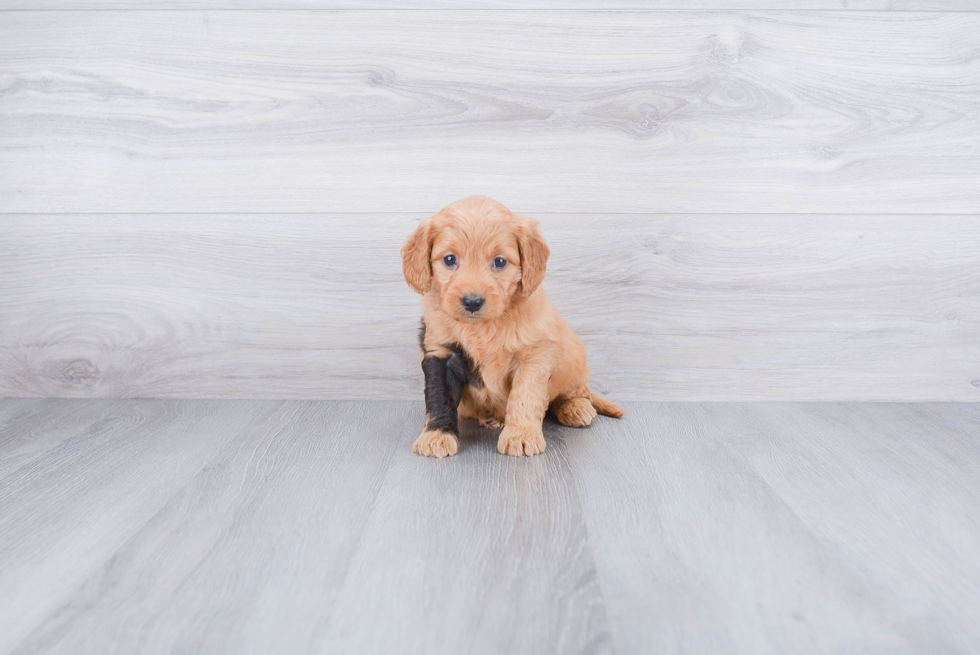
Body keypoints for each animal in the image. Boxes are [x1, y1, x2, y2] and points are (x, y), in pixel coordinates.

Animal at [402, 197, 624, 458]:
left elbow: (525, 395)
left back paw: (575, 407)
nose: (472, 302)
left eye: (499, 262)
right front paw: (436, 435)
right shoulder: (440, 351)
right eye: (449, 259)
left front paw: (521, 435)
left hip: (573, 357)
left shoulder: (534, 355)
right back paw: (490, 417)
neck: (482, 327)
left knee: (576, 391)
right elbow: (439, 397)